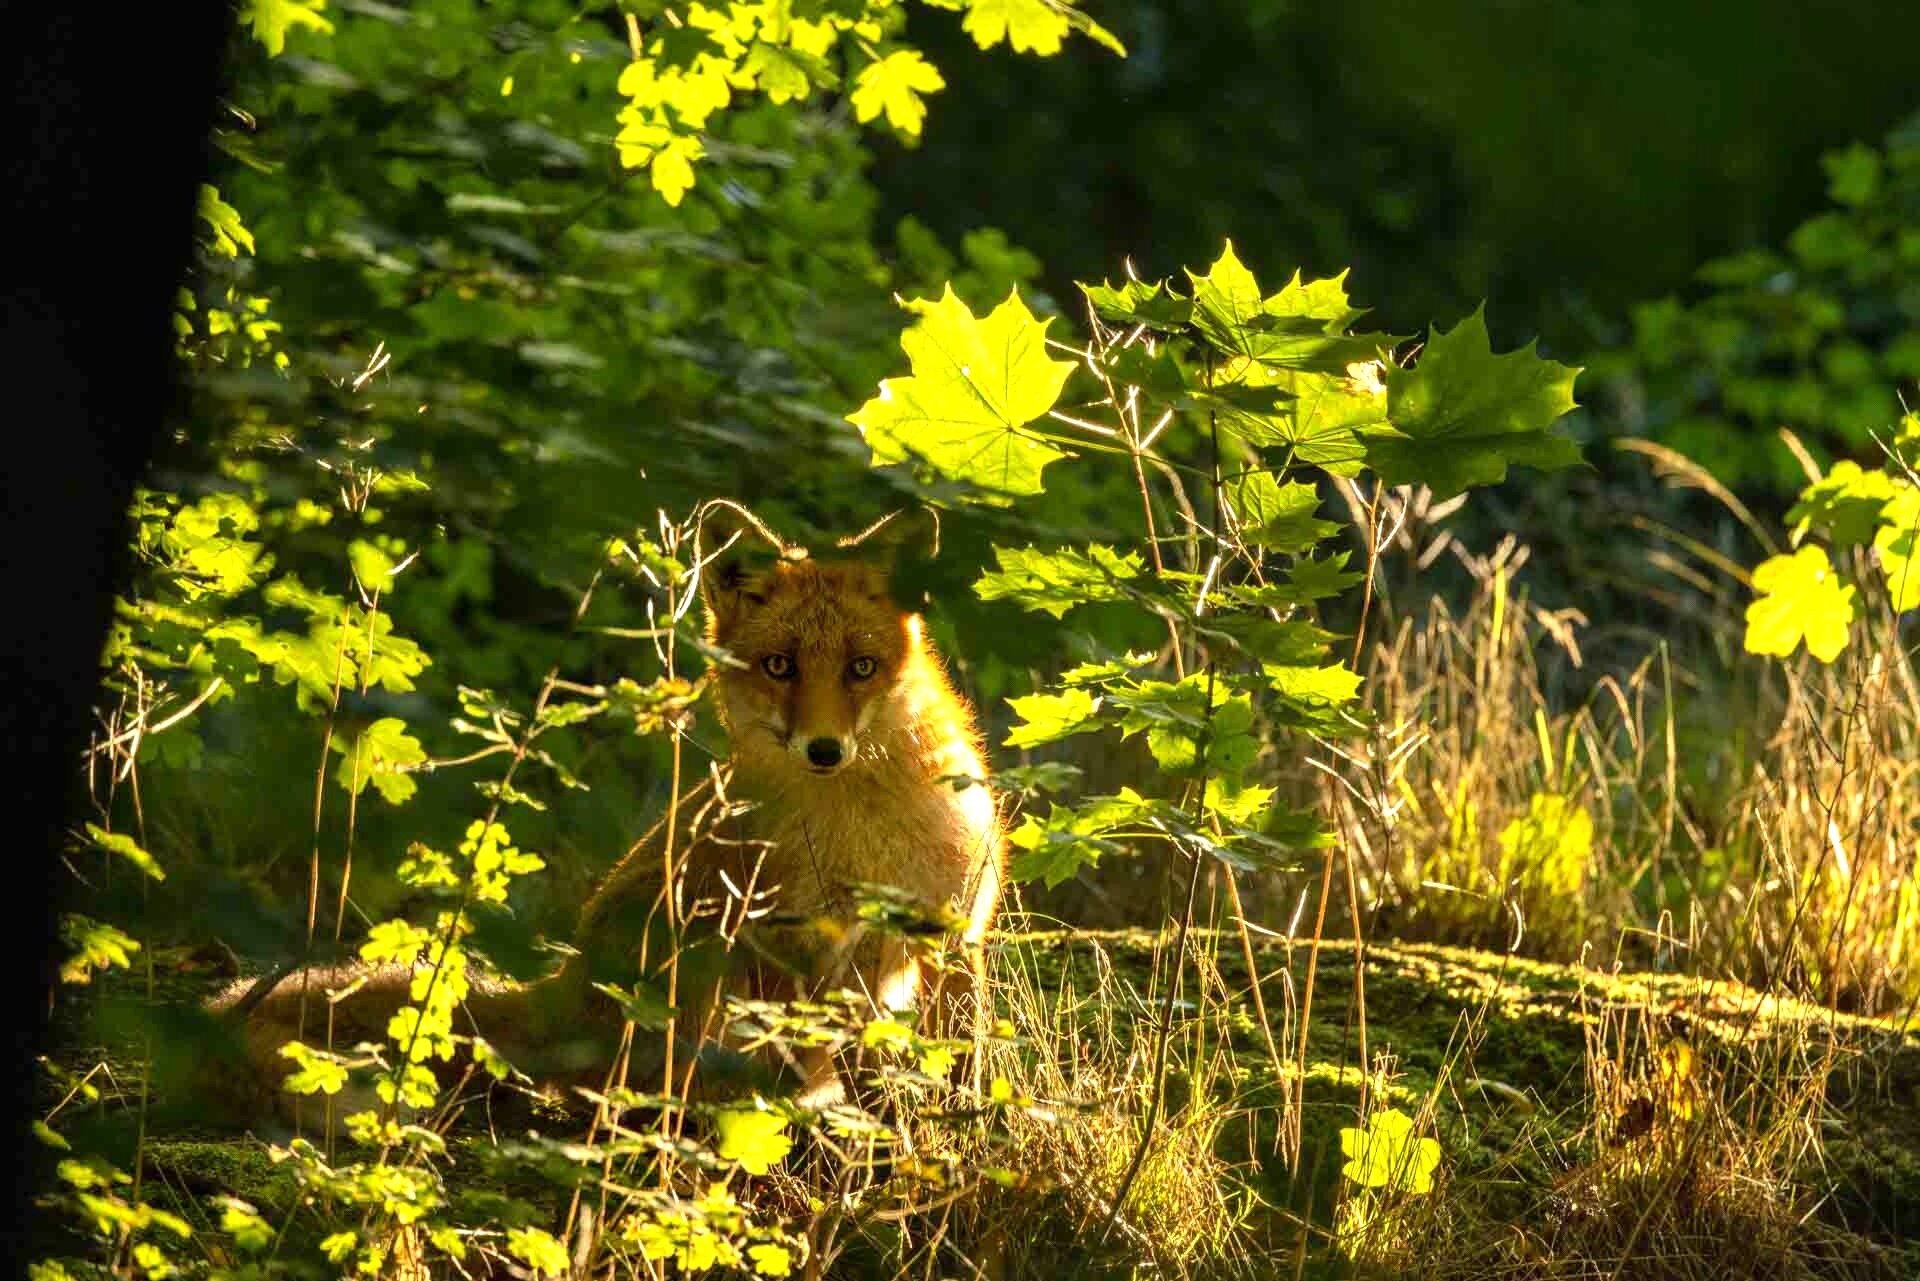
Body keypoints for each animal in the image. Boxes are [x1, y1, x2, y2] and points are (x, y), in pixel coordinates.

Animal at [208, 499, 1006, 1121]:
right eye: (779, 666)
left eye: (860, 668)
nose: (823, 749)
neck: (867, 831)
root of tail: (564, 989)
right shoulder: (787, 941)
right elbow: (818, 1061)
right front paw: (835, 1115)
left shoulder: (952, 931)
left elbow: (966, 1057)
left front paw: (971, 1118)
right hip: (699, 949)